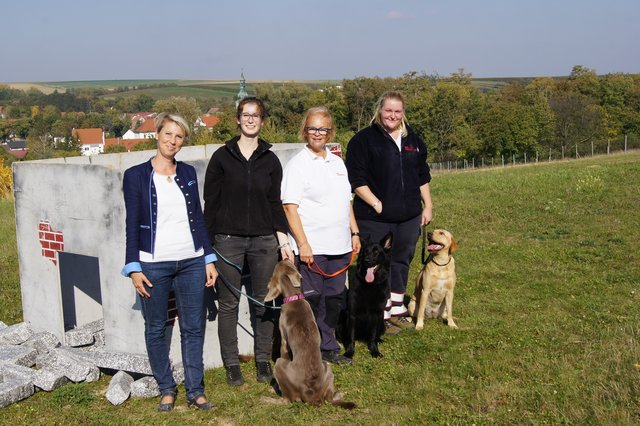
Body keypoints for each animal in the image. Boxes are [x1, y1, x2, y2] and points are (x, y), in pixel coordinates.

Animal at [264, 260, 356, 410]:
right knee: (329, 397)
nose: (284, 258)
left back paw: (268, 397)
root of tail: (310, 394)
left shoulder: (284, 340)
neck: (294, 298)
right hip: (327, 367)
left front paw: (274, 387)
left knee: (287, 399)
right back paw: (340, 394)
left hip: (279, 364)